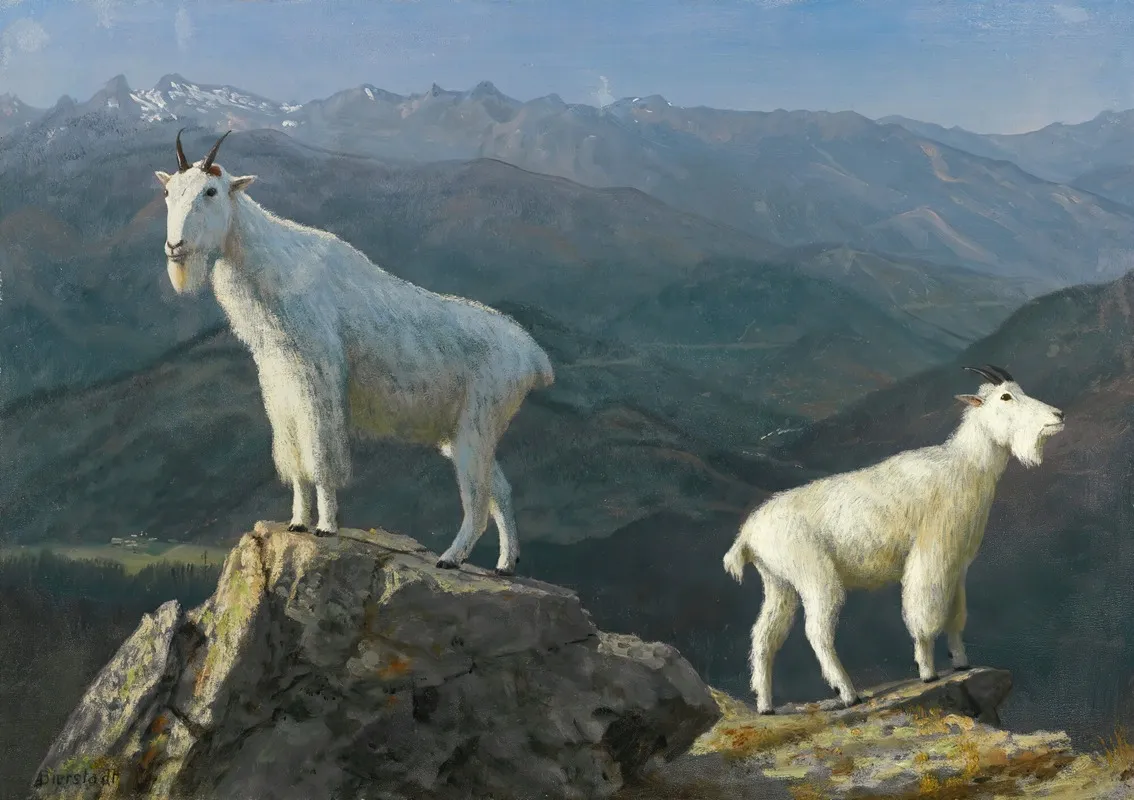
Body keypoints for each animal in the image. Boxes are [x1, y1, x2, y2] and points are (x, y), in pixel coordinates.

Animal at [154, 130, 554, 576]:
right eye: (168, 192)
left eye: (210, 191)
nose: (175, 246)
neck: (275, 269)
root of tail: (534, 358)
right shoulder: (279, 385)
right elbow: (294, 459)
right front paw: (297, 522)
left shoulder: (320, 376)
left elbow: (320, 454)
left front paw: (326, 526)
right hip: (464, 431)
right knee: (500, 488)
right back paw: (505, 564)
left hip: (478, 423)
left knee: (478, 497)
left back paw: (451, 558)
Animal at [723, 365, 1064, 713]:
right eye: (1006, 397)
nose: (1058, 415)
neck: (966, 466)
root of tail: (748, 535)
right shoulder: (931, 553)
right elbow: (924, 614)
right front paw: (927, 672)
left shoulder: (957, 564)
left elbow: (956, 616)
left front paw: (961, 663)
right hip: (815, 578)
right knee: (817, 632)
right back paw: (848, 693)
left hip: (779, 584)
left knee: (764, 638)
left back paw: (765, 705)